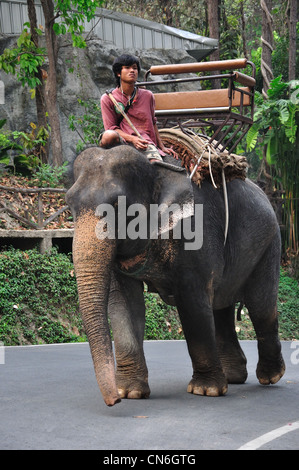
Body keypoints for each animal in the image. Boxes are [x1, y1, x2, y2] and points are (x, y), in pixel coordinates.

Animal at [65, 145, 286, 406]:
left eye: (117, 205)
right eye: (69, 204)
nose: (113, 402)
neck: (155, 169)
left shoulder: (196, 232)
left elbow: (192, 302)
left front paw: (205, 390)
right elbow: (125, 303)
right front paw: (130, 393)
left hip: (270, 243)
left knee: (260, 305)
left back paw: (271, 377)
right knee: (221, 305)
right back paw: (233, 377)